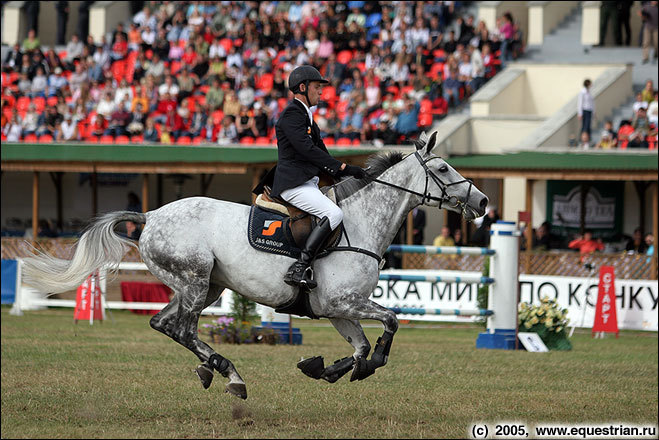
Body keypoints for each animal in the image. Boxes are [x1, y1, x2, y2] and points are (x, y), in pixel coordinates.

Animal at [23, 131, 488, 398]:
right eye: (443, 167)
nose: (483, 202)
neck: (358, 224)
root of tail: (151, 215)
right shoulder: (345, 302)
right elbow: (389, 323)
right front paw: (365, 366)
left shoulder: (337, 309)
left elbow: (357, 348)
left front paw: (323, 369)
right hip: (195, 281)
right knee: (182, 329)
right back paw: (229, 375)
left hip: (203, 286)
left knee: (163, 323)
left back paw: (209, 369)